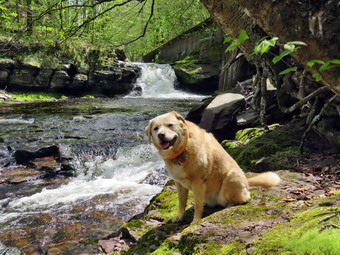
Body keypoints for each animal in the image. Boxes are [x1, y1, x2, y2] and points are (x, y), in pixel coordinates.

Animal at [145, 111, 280, 223]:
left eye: (170, 125)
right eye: (156, 128)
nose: (161, 135)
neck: (181, 152)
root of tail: (246, 182)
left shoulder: (198, 182)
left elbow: (197, 205)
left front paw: (195, 221)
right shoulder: (179, 183)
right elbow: (181, 203)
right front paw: (180, 217)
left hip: (231, 177)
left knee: (243, 198)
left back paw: (228, 205)